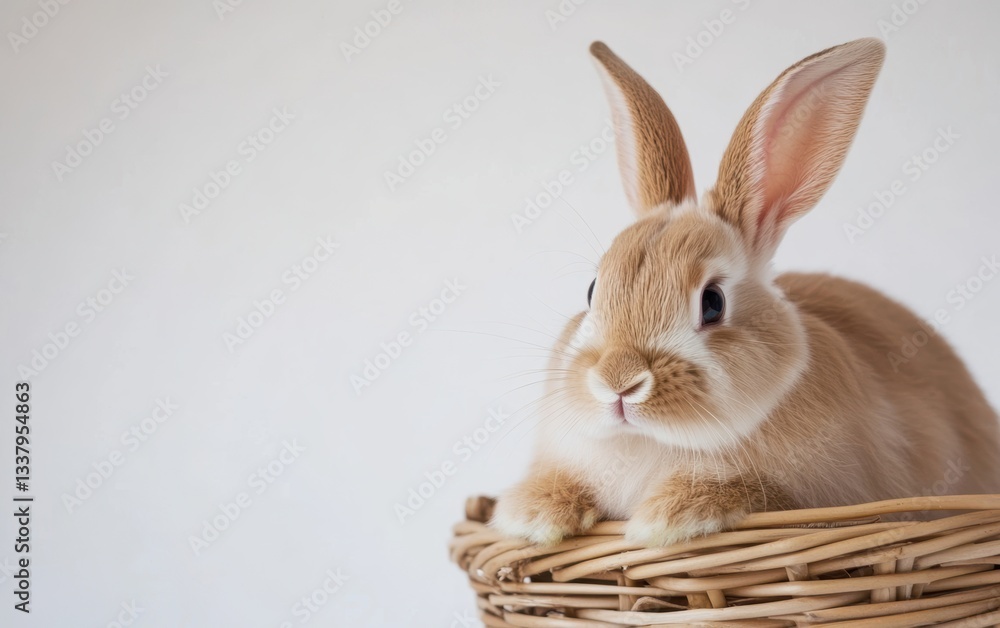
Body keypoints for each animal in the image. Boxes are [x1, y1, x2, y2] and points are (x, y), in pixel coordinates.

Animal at [491, 38, 1000, 548]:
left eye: (712, 302)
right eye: (593, 290)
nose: (618, 381)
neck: (650, 440)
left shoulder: (822, 499)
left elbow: (760, 492)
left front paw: (667, 519)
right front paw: (531, 514)